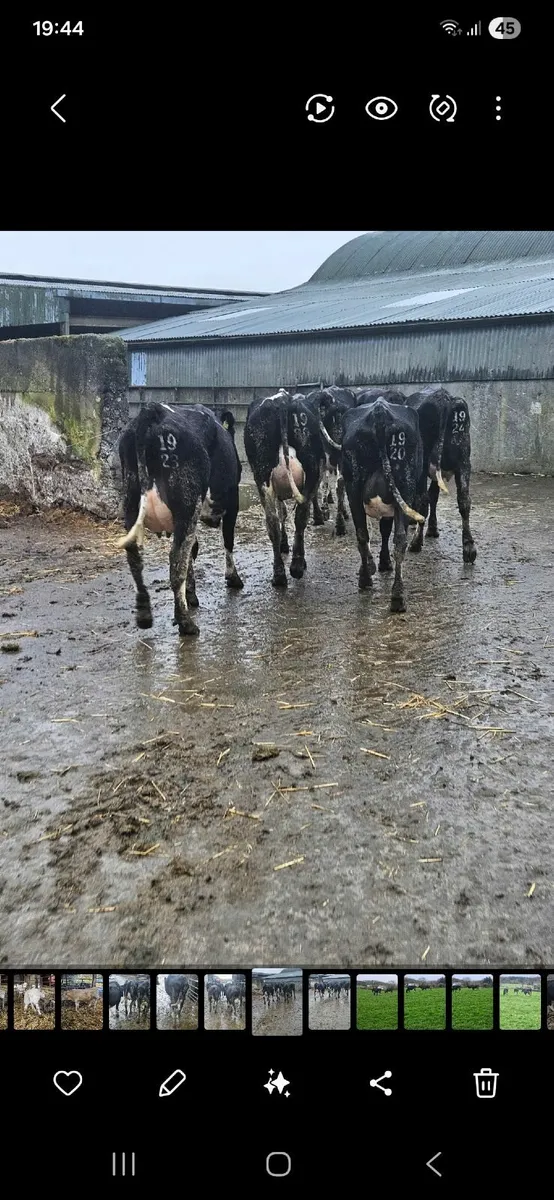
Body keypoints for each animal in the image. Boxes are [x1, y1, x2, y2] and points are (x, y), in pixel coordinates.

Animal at [117, 402, 243, 638]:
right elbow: (227, 541)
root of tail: (153, 411)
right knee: (176, 560)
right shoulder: (232, 501)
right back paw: (185, 622)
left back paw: (144, 614)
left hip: (131, 504)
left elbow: (192, 550)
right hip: (187, 504)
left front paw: (191, 593)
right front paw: (233, 578)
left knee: (135, 557)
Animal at [244, 389, 339, 587]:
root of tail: (283, 400)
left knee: (272, 522)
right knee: (300, 517)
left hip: (262, 476)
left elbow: (282, 513)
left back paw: (279, 574)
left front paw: (284, 544)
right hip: (311, 471)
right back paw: (297, 565)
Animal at [341, 397, 425, 613]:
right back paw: (396, 596)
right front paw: (382, 563)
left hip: (354, 488)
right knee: (399, 539)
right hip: (404, 486)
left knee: (363, 534)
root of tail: (379, 411)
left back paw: (368, 580)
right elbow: (386, 530)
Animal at [404, 386, 476, 564]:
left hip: (423, 463)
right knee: (464, 501)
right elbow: (434, 496)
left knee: (423, 500)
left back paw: (416, 543)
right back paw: (469, 548)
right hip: (464, 462)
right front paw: (432, 529)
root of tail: (445, 398)